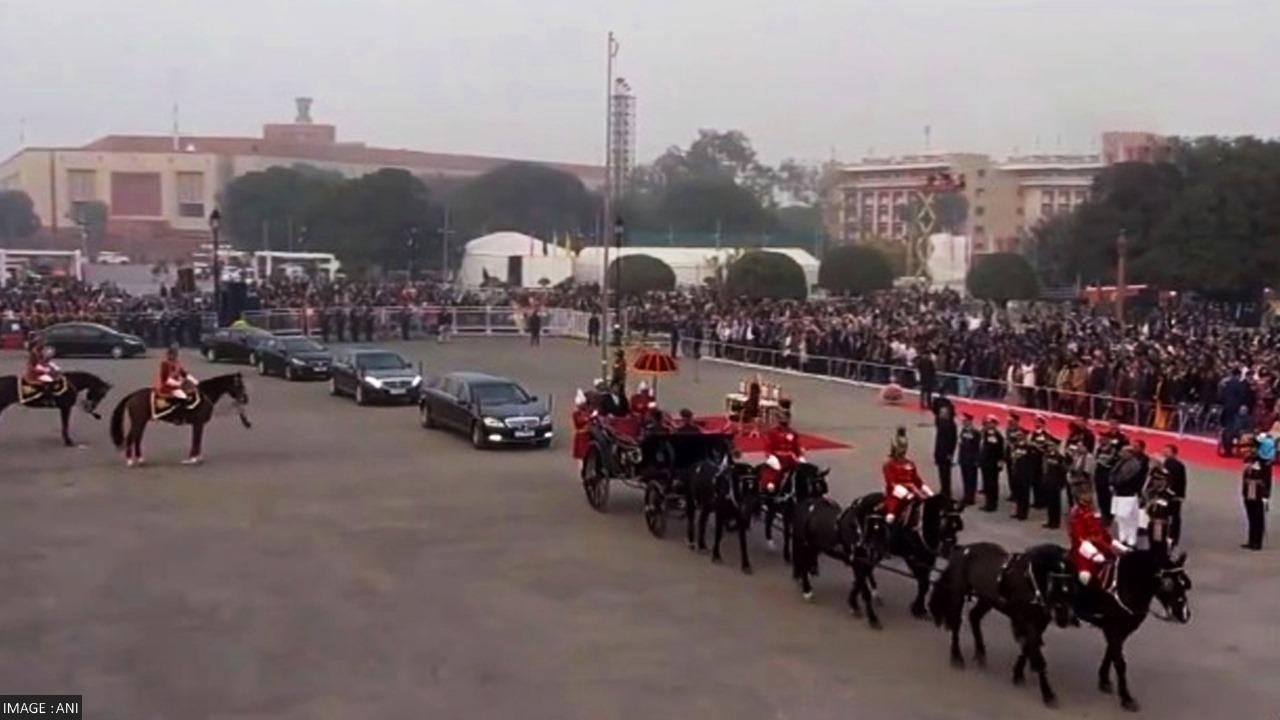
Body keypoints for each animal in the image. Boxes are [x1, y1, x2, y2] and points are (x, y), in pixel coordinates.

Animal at [110, 368, 252, 466]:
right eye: (239, 385)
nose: (245, 399)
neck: (205, 394)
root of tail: (133, 395)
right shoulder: (198, 423)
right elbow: (196, 439)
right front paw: (193, 459)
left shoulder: (198, 424)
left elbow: (197, 440)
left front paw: (196, 458)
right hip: (138, 422)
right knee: (131, 439)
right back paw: (130, 461)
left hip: (142, 422)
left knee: (137, 439)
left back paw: (140, 459)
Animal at [849, 489, 962, 625]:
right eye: (946, 524)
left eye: (956, 527)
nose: (948, 550)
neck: (921, 525)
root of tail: (860, 501)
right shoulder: (913, 559)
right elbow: (923, 583)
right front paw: (918, 608)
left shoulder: (927, 559)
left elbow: (924, 584)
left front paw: (919, 609)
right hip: (865, 548)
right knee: (861, 569)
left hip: (876, 550)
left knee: (865, 570)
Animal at [931, 540, 1080, 702]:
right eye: (1052, 577)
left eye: (1071, 578)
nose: (1064, 616)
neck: (1029, 581)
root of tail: (961, 549)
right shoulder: (1026, 621)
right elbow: (1036, 656)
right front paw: (1048, 694)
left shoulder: (1039, 624)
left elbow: (1027, 649)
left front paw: (1018, 675)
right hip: (958, 594)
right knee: (956, 623)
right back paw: (957, 657)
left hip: (987, 599)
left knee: (974, 617)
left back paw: (981, 654)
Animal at [1070, 548, 1187, 707]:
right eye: (1170, 584)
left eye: (1185, 584)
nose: (1186, 614)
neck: (1126, 584)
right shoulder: (1112, 630)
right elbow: (1120, 663)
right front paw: (1126, 697)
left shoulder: (1122, 630)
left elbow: (1111, 654)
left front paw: (1104, 680)